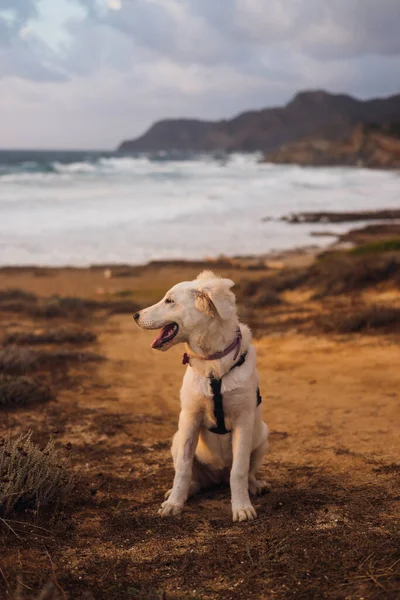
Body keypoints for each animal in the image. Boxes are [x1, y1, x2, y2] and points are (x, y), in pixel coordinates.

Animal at [134, 272, 268, 520]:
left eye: (169, 301)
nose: (135, 315)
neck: (212, 363)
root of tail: (217, 477)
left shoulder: (244, 420)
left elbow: (239, 470)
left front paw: (241, 507)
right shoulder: (189, 418)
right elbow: (183, 469)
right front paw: (174, 504)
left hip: (263, 436)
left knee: (246, 473)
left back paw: (255, 485)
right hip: (176, 440)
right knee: (191, 477)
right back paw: (182, 492)